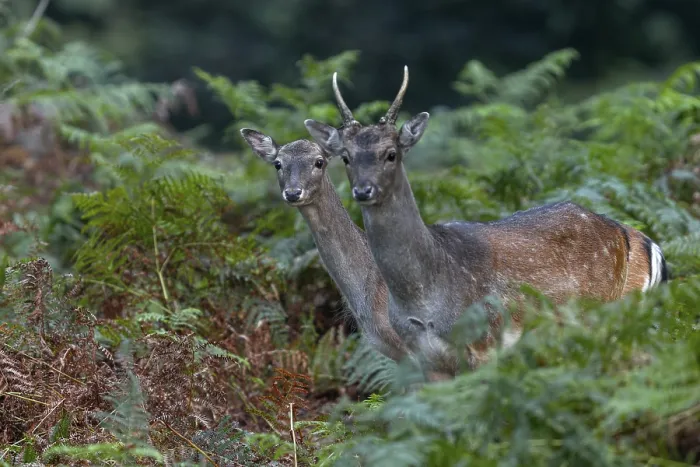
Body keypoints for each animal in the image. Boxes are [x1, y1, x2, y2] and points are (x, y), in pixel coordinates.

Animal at [303, 67, 668, 378]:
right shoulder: (426, 360)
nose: (363, 190)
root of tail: (622, 233)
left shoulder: (484, 345)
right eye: (345, 157)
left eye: (391, 153)